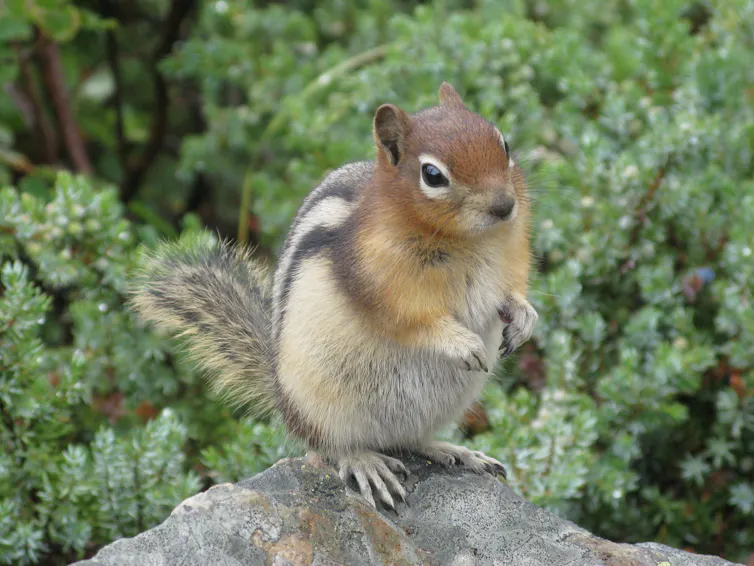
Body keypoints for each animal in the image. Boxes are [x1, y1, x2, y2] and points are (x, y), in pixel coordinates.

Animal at [130, 82, 538, 509]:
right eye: (432, 175)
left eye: (504, 143)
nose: (505, 206)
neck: (472, 241)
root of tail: (284, 403)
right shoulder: (378, 283)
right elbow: (411, 320)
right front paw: (462, 342)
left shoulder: (509, 264)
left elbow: (510, 294)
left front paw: (524, 317)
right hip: (325, 408)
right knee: (333, 447)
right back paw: (366, 463)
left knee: (412, 440)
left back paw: (456, 451)